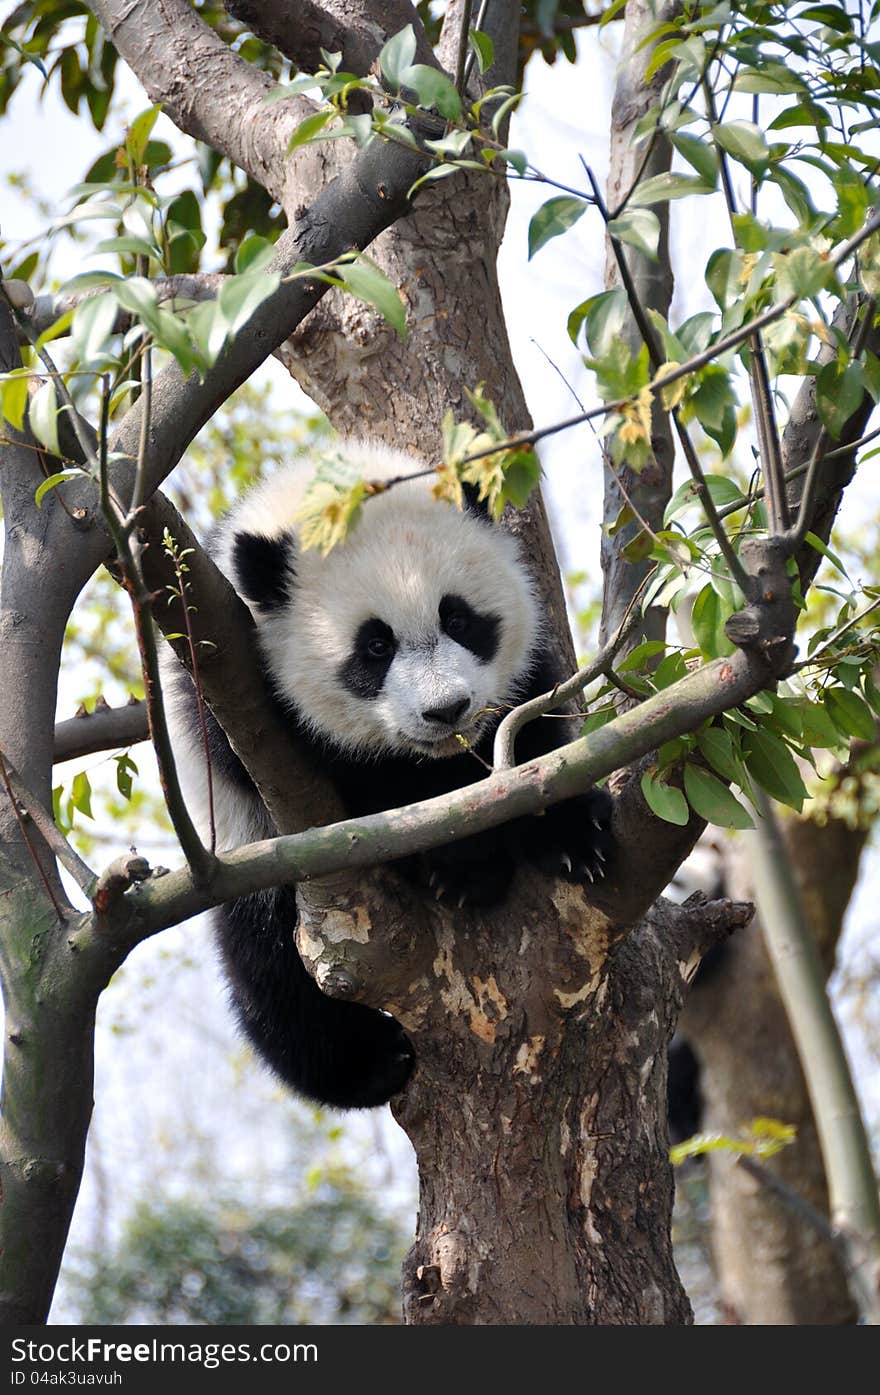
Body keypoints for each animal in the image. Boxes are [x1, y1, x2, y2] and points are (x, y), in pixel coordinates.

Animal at [165, 438, 613, 1110]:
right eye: (375, 647)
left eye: (458, 619)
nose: (447, 710)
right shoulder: (232, 703)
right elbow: (370, 799)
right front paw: (464, 866)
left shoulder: (519, 681)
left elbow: (531, 731)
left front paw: (570, 835)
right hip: (248, 852)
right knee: (269, 965)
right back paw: (371, 1062)